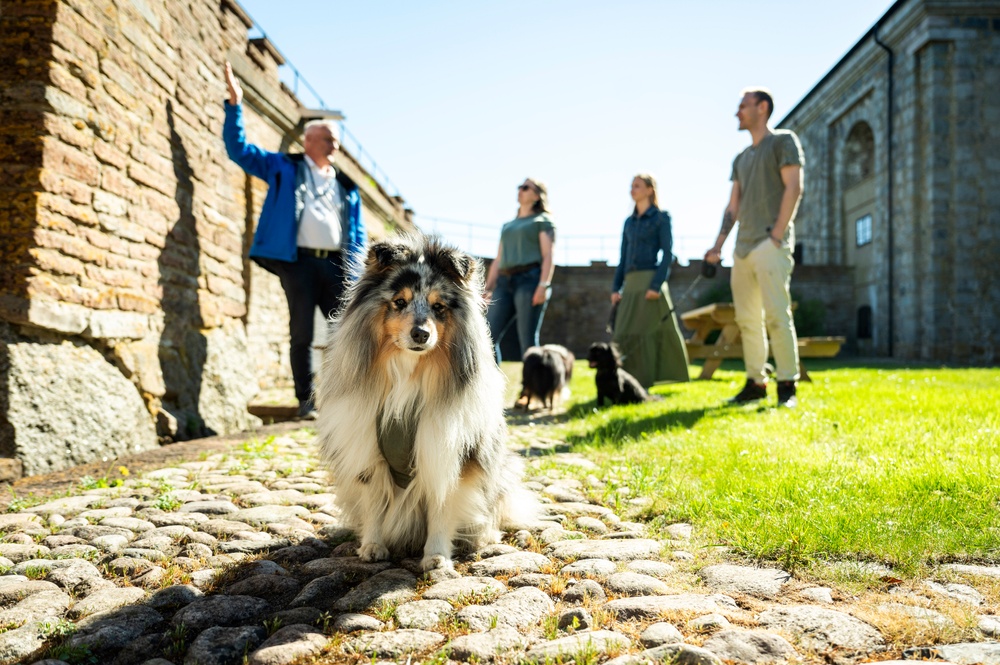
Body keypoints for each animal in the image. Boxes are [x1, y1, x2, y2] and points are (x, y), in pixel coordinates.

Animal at [318, 235, 540, 572]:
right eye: (399, 302)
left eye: (438, 307)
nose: (420, 334)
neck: (410, 370)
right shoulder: (366, 448)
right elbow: (374, 503)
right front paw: (372, 546)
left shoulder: (447, 450)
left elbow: (442, 505)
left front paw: (437, 557)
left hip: (501, 467)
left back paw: (487, 536)